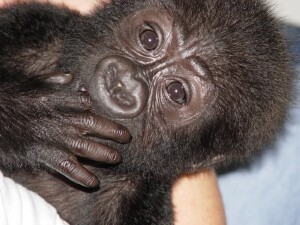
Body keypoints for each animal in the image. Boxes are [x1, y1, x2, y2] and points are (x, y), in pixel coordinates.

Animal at [0, 0, 292, 225]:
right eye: (149, 39)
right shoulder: (37, 26)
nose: (125, 81)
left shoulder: (139, 209)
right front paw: (26, 119)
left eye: (176, 92)